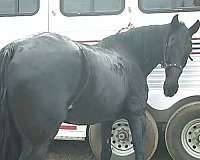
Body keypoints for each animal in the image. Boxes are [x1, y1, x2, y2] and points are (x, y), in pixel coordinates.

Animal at [0, 15, 199, 160]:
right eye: (169, 43)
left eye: (189, 48)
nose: (170, 87)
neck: (129, 56)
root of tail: (15, 48)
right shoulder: (137, 116)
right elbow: (140, 152)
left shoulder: (107, 120)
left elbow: (106, 152)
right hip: (38, 141)